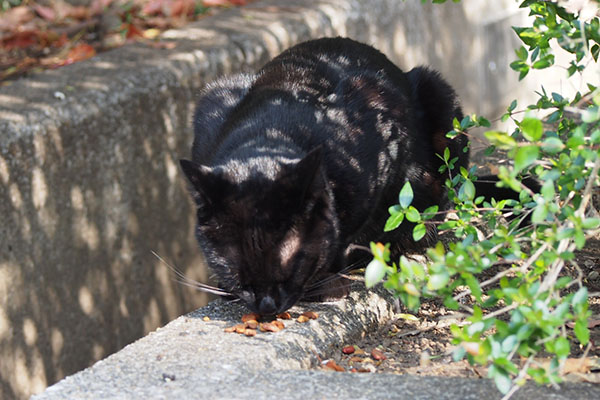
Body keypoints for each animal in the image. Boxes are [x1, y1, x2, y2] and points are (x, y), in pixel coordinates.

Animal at [179, 36, 502, 314]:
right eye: (235, 273)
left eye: (293, 265)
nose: (267, 306)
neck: (269, 133)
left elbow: (352, 227)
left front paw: (330, 278)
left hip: (439, 94)